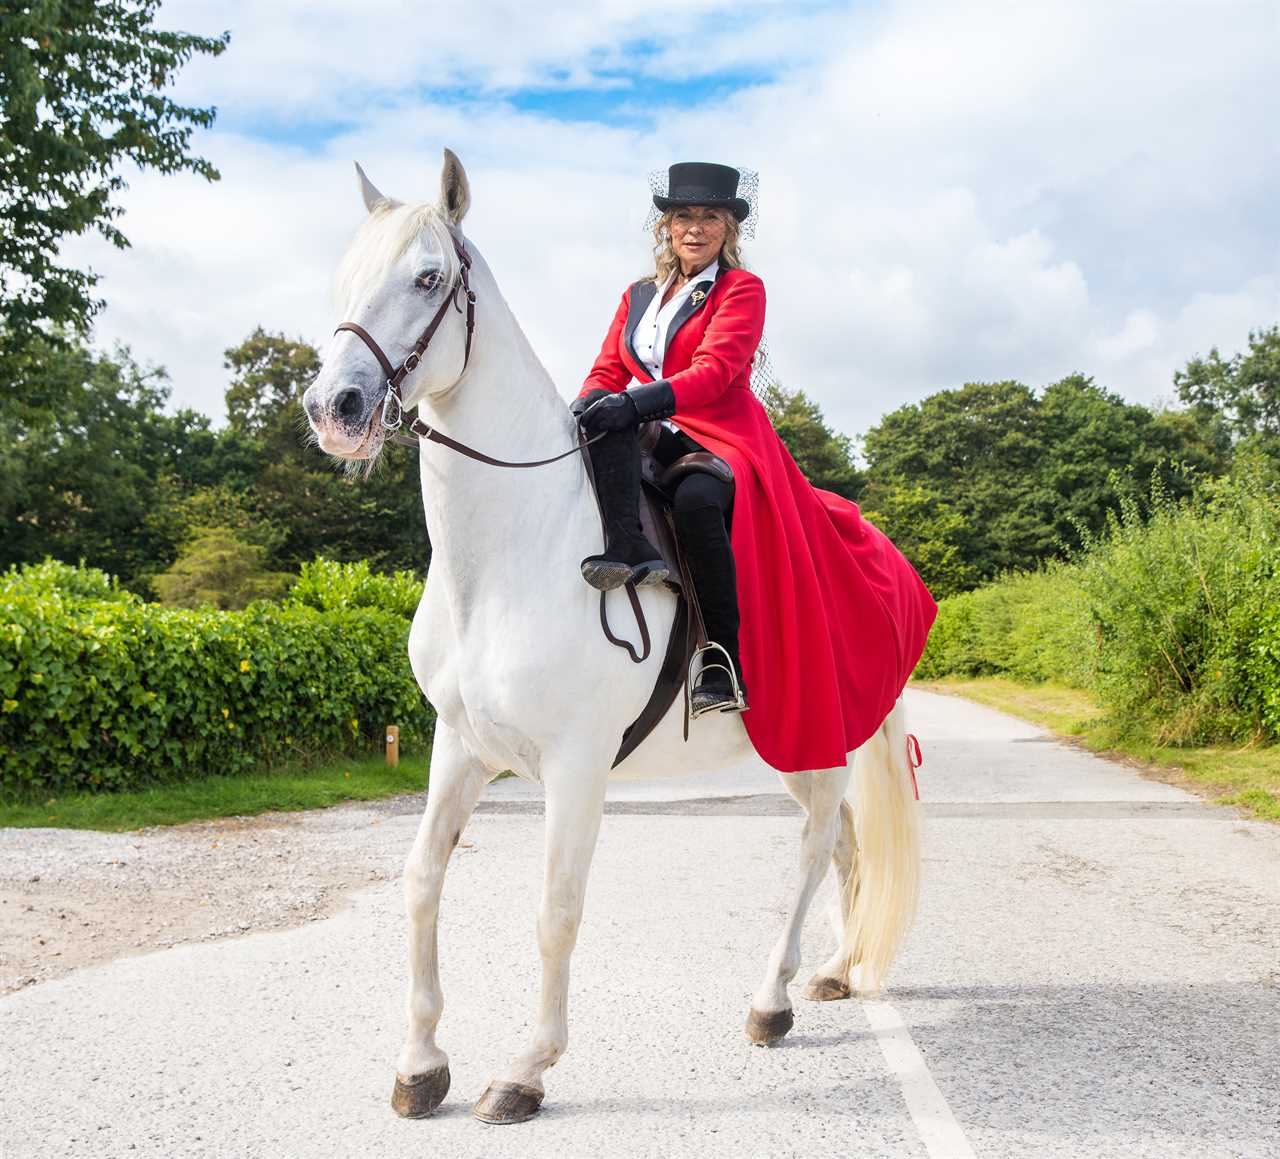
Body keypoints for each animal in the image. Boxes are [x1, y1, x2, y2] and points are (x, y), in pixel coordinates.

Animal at [299, 149, 921, 1126]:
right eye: (346, 276)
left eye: (429, 278)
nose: (337, 407)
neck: (512, 549)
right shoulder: (457, 746)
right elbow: (421, 880)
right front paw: (420, 1061)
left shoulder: (576, 764)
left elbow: (555, 909)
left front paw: (525, 1068)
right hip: (804, 742)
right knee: (848, 846)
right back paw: (829, 969)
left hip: (820, 738)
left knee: (817, 844)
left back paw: (771, 1000)